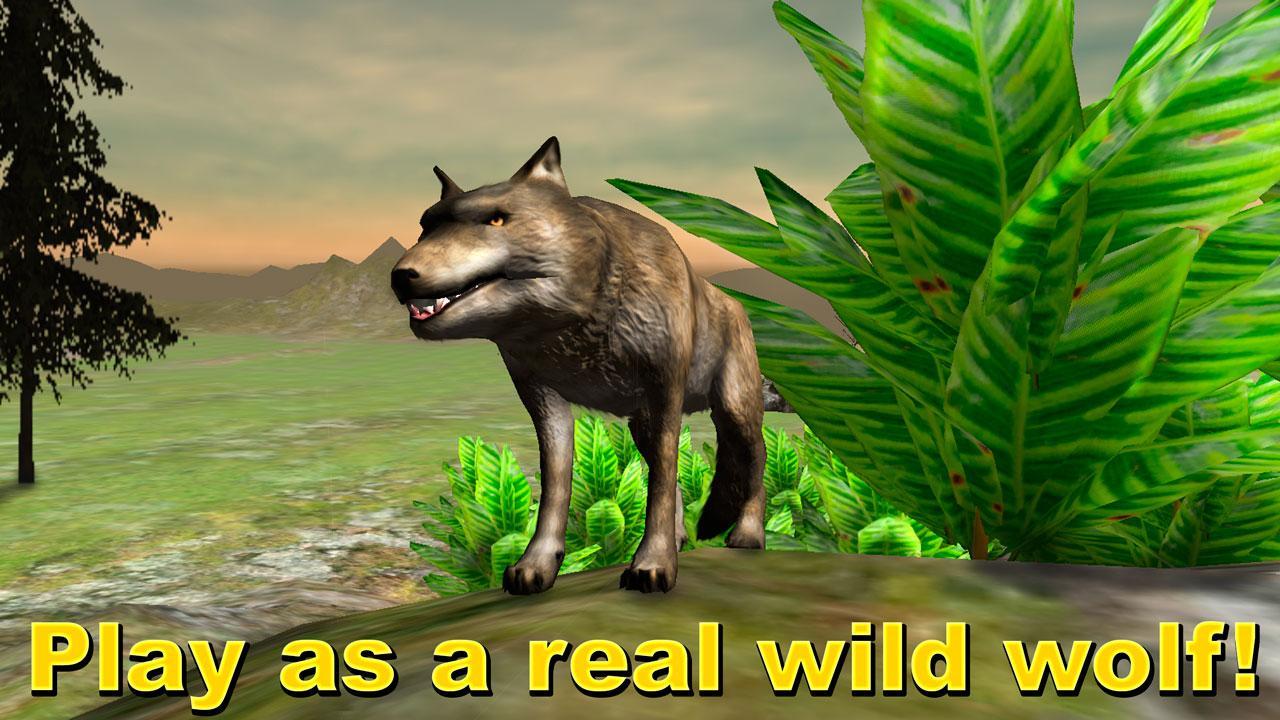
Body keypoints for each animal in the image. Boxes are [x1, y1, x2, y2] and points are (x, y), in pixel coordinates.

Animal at [391, 137, 766, 593]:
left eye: (496, 219)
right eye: (426, 227)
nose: (400, 275)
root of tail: (736, 303)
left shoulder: (665, 393)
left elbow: (660, 487)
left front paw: (653, 564)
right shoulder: (544, 401)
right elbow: (557, 488)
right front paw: (536, 565)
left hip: (733, 412)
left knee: (755, 462)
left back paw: (748, 534)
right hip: (642, 426)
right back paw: (682, 537)